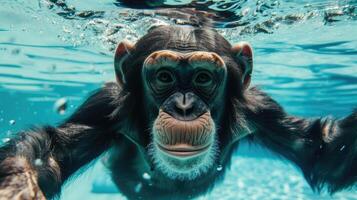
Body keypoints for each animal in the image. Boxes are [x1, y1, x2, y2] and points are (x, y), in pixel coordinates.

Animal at [0, 25, 356, 200]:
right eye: (164, 77)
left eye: (202, 78)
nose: (185, 106)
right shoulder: (105, 108)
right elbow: (54, 150)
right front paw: (19, 183)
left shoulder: (260, 109)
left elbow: (324, 152)